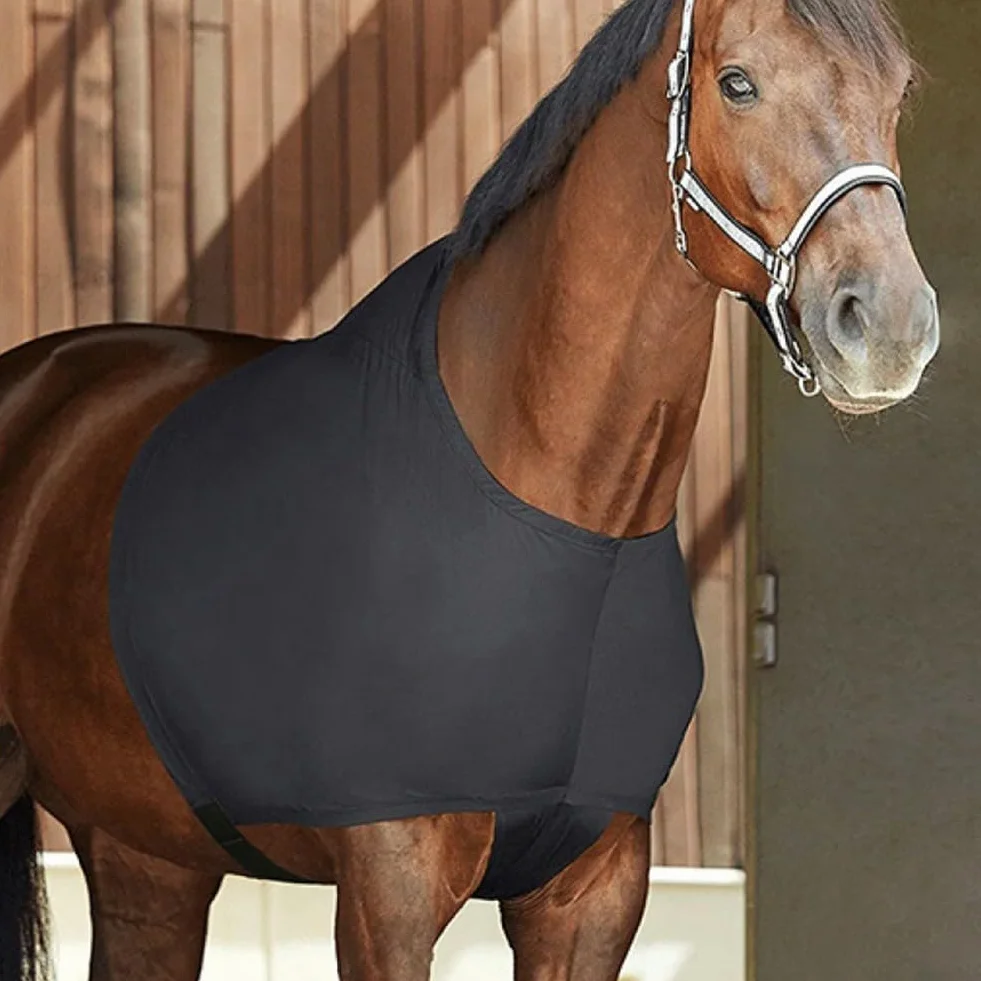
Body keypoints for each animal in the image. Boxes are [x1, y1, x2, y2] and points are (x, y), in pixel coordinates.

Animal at [0, 0, 938, 978]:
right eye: (737, 82)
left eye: (897, 93)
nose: (888, 327)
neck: (562, 519)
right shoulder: (390, 894)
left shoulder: (593, 894)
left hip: (148, 859)